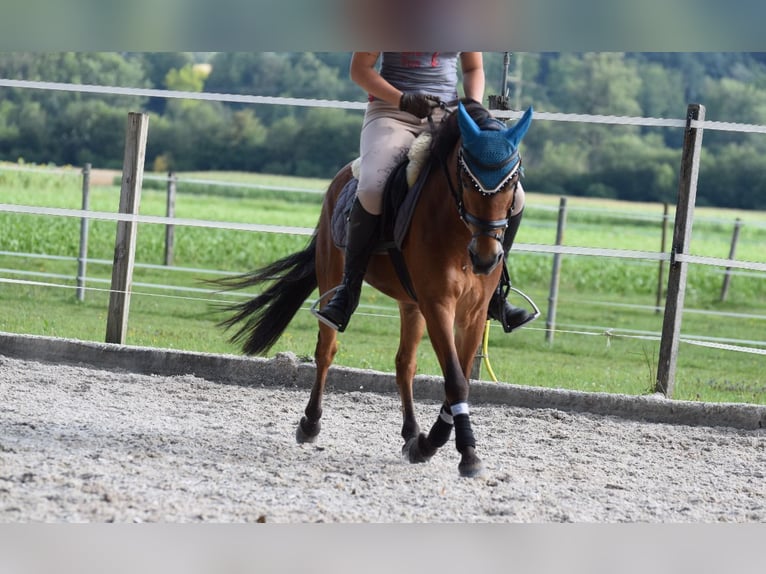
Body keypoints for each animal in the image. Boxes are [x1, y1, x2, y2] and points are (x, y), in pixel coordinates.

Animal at [219, 98, 536, 476]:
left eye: (514, 180)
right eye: (466, 178)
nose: (486, 259)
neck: (459, 236)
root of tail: (344, 175)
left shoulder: (471, 314)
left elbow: (460, 379)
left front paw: (428, 443)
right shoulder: (438, 305)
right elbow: (456, 380)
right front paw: (465, 453)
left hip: (411, 303)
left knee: (405, 364)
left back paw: (411, 434)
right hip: (334, 271)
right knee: (327, 350)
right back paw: (310, 423)